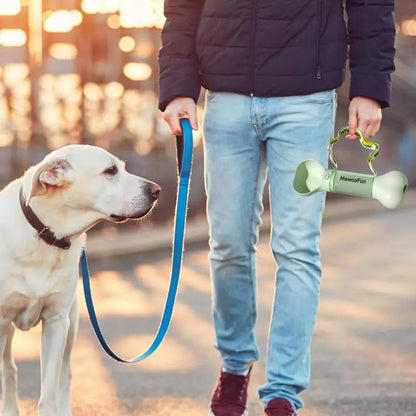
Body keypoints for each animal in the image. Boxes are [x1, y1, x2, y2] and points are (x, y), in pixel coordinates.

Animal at [0, 144, 161, 416]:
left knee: (64, 376)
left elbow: (49, 392)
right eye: (111, 170)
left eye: (122, 167)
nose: (156, 190)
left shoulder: (56, 321)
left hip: (71, 324)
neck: (46, 236)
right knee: (9, 368)